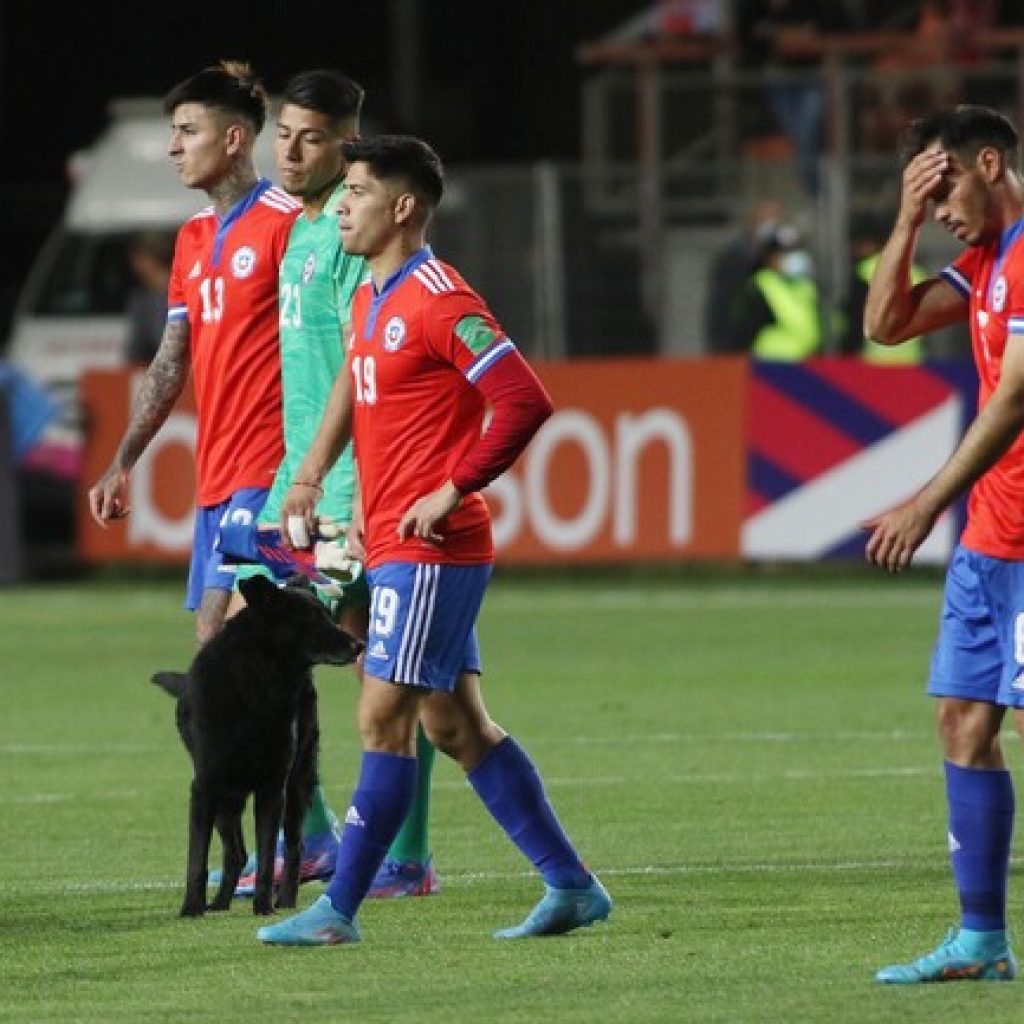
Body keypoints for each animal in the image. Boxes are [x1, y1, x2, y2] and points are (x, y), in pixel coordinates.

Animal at [149, 577, 362, 921]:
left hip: (297, 783)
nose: (359, 645)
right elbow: (197, 859)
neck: (257, 681)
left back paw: (284, 900)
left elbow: (266, 857)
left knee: (293, 846)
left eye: (328, 616)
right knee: (235, 852)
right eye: (311, 618)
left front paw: (263, 906)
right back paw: (219, 902)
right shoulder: (205, 788)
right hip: (227, 800)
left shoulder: (272, 789)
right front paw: (192, 907)